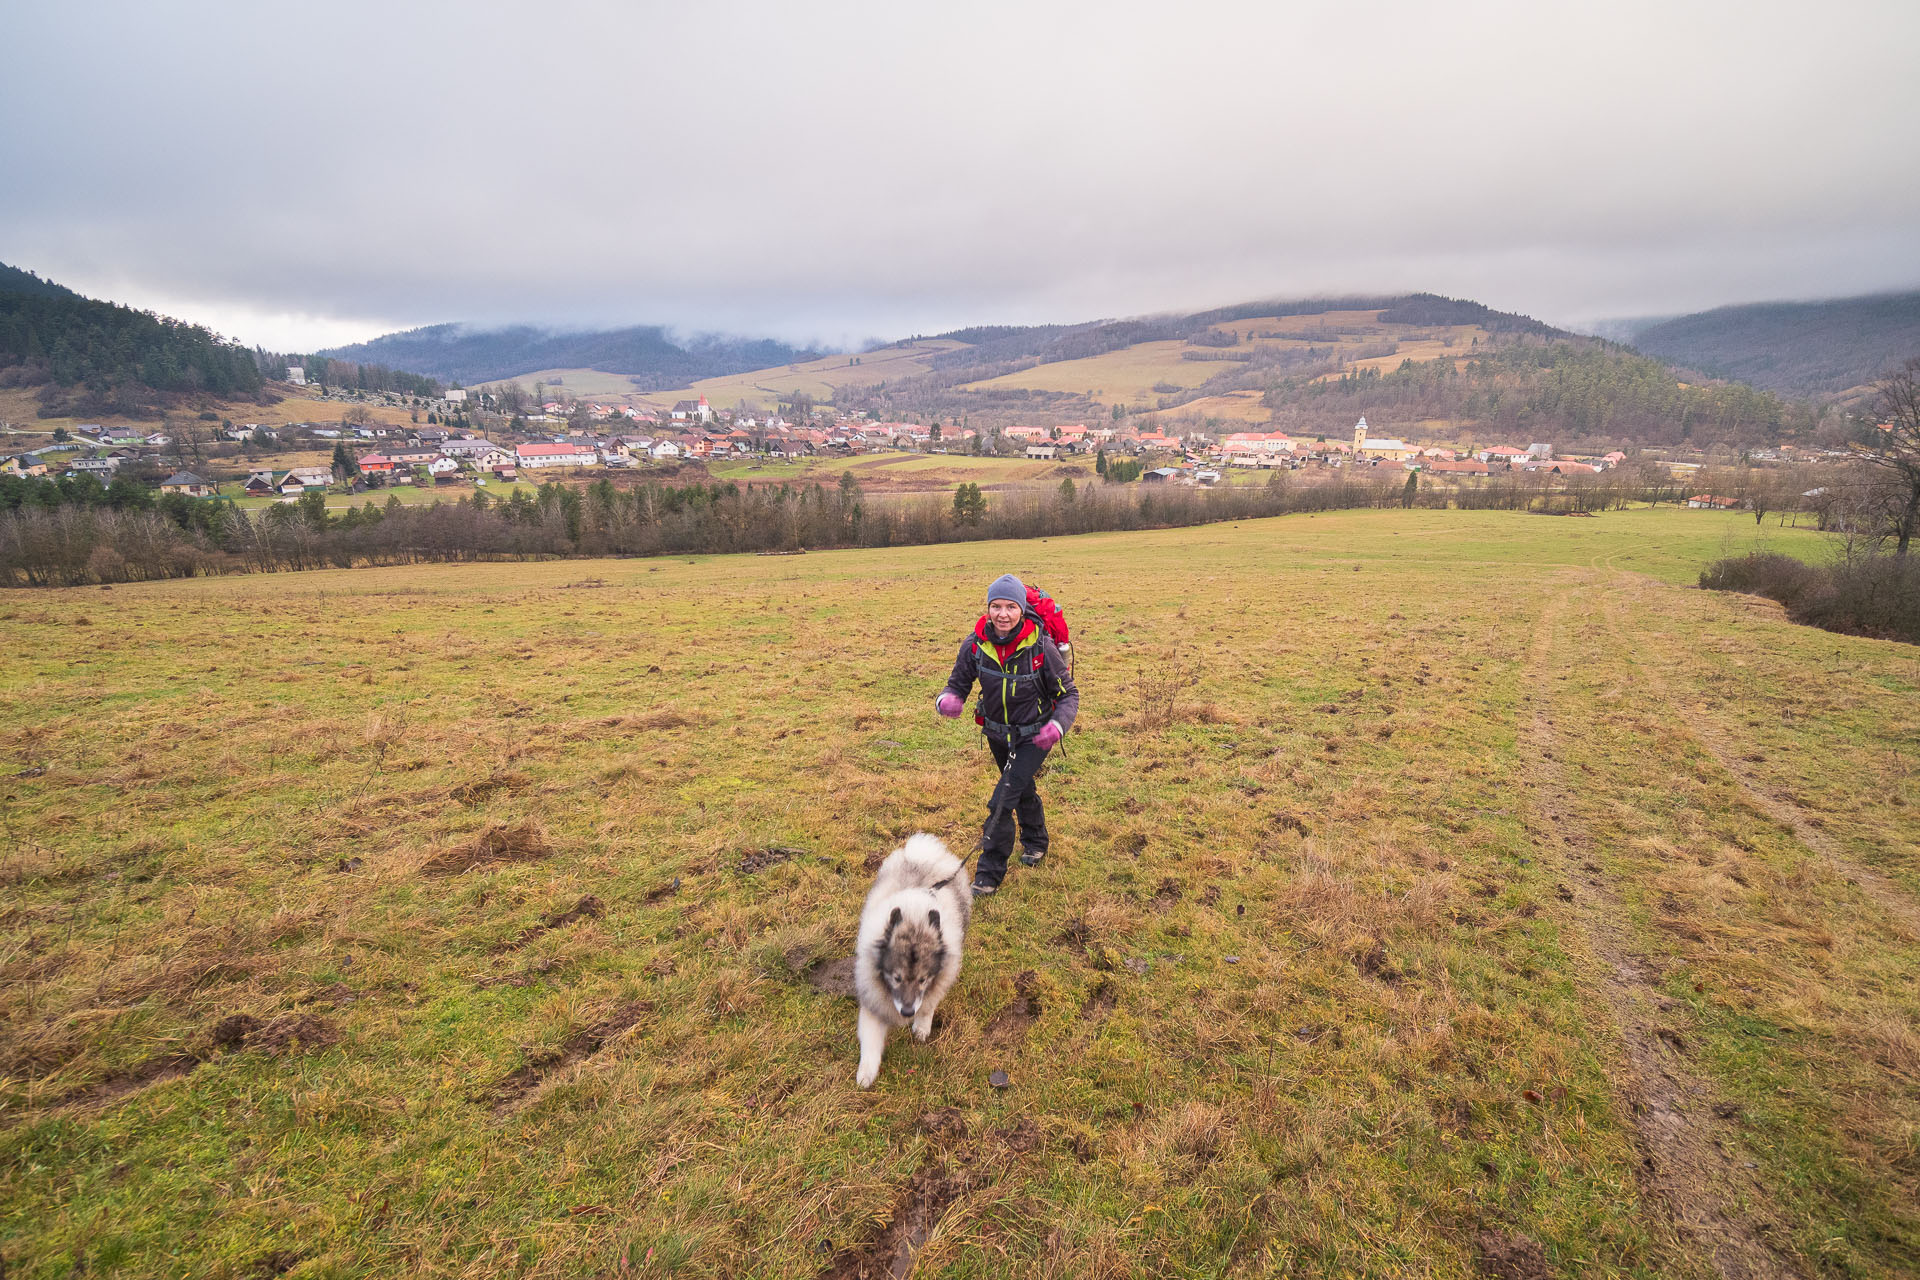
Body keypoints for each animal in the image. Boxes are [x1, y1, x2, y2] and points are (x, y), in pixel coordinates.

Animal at [860, 832, 975, 1090]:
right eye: (896, 978)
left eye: (923, 980)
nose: (906, 1011)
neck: (915, 918)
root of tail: (926, 855)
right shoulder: (873, 996)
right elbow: (870, 1039)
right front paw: (866, 1073)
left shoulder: (937, 983)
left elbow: (928, 1006)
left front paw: (921, 1027)